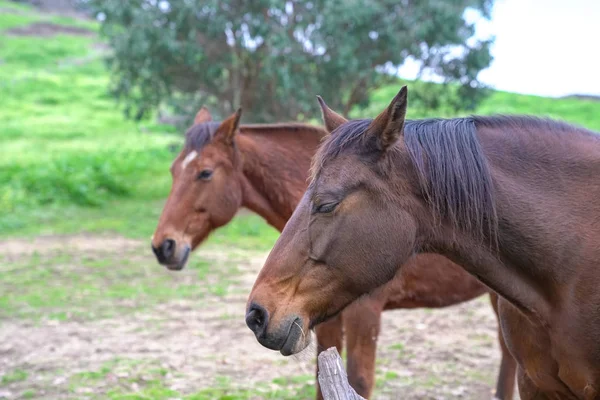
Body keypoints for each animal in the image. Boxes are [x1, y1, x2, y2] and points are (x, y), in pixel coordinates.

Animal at [150, 106, 516, 400]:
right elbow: (320, 381)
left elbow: (359, 381)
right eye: (172, 171)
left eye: (205, 173)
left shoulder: (364, 313)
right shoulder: (318, 317)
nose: (163, 246)